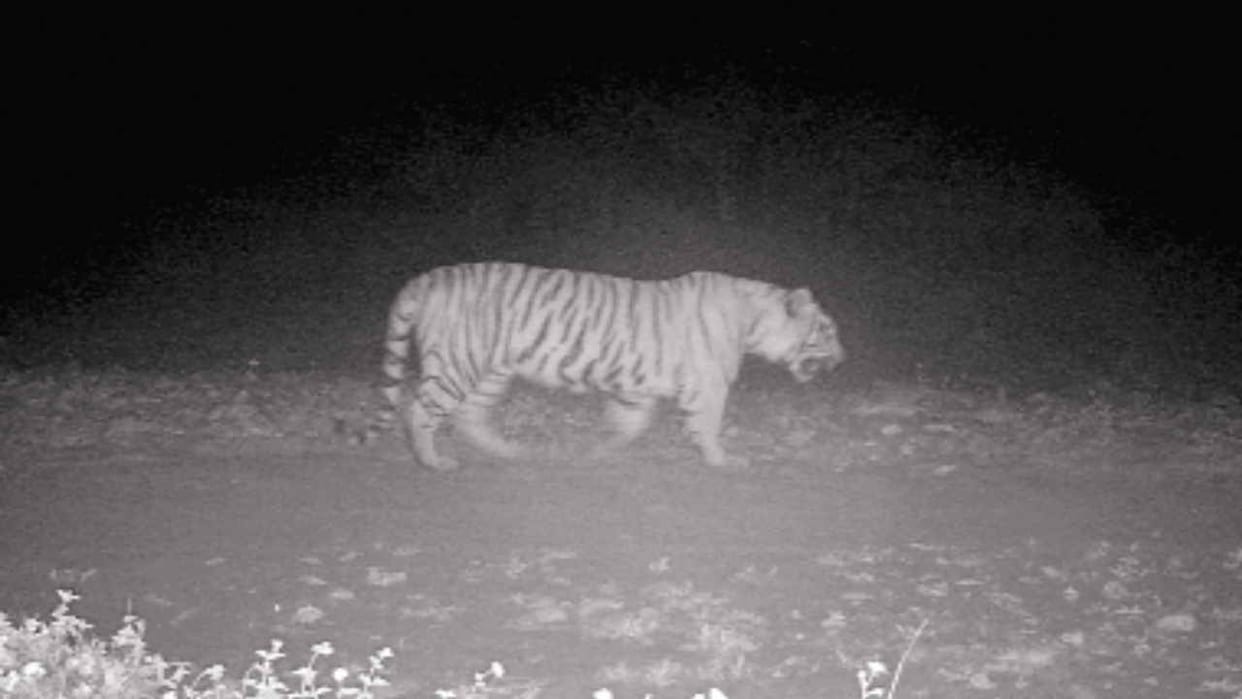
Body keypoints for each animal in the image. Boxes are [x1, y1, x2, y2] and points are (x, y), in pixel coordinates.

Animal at [371, 261, 844, 471]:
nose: (844, 360)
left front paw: (598, 452)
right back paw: (433, 461)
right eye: (826, 330)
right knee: (419, 409)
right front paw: (722, 459)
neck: (754, 322)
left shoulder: (637, 387)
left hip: (490, 371)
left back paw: (511, 453)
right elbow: (708, 424)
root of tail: (429, 277)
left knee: (470, 416)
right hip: (459, 362)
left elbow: (626, 425)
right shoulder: (708, 384)